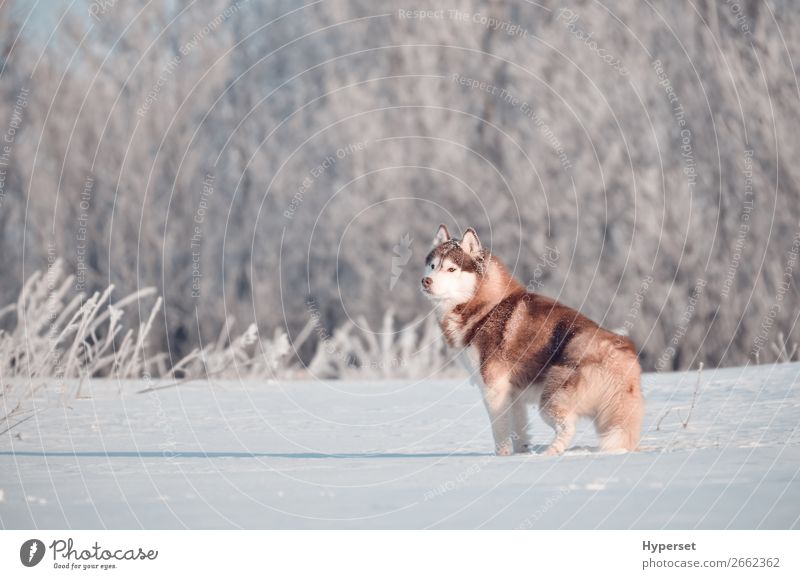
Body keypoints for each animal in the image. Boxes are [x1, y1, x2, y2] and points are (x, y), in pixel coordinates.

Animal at [424, 227, 644, 458]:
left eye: (451, 269)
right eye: (432, 266)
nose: (426, 281)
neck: (483, 307)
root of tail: (622, 353)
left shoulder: (494, 388)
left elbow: (500, 432)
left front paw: (501, 457)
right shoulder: (513, 394)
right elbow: (519, 432)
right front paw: (520, 455)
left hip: (550, 399)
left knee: (568, 427)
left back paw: (550, 453)